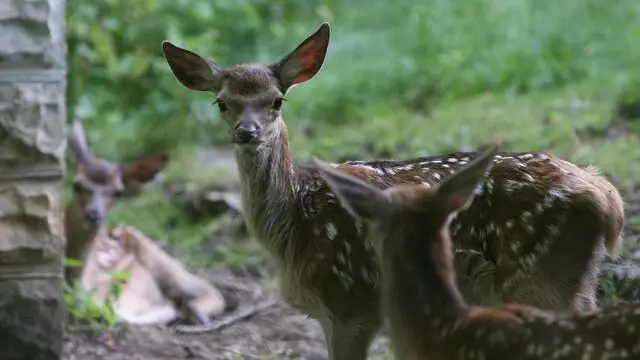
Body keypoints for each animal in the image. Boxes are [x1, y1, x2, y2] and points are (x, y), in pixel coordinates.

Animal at [66, 119, 226, 324]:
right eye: (76, 184)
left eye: (118, 192)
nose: (93, 215)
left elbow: (114, 312)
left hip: (161, 260)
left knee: (206, 286)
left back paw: (193, 312)